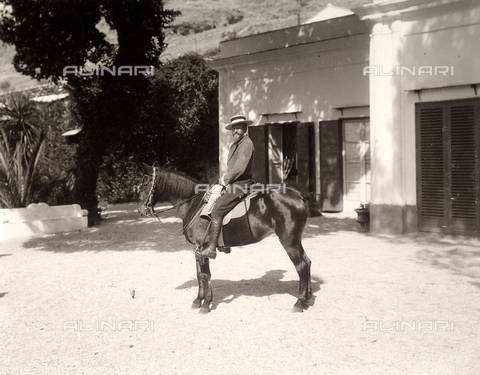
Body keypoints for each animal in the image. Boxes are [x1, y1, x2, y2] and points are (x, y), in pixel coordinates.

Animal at [137, 165, 314, 314]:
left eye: (146, 184)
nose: (141, 210)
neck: (194, 204)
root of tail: (297, 194)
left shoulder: (202, 248)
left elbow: (205, 275)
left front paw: (206, 304)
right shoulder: (196, 250)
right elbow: (199, 274)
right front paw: (198, 300)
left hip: (289, 241)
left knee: (301, 266)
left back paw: (299, 302)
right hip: (296, 240)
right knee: (307, 262)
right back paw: (307, 298)